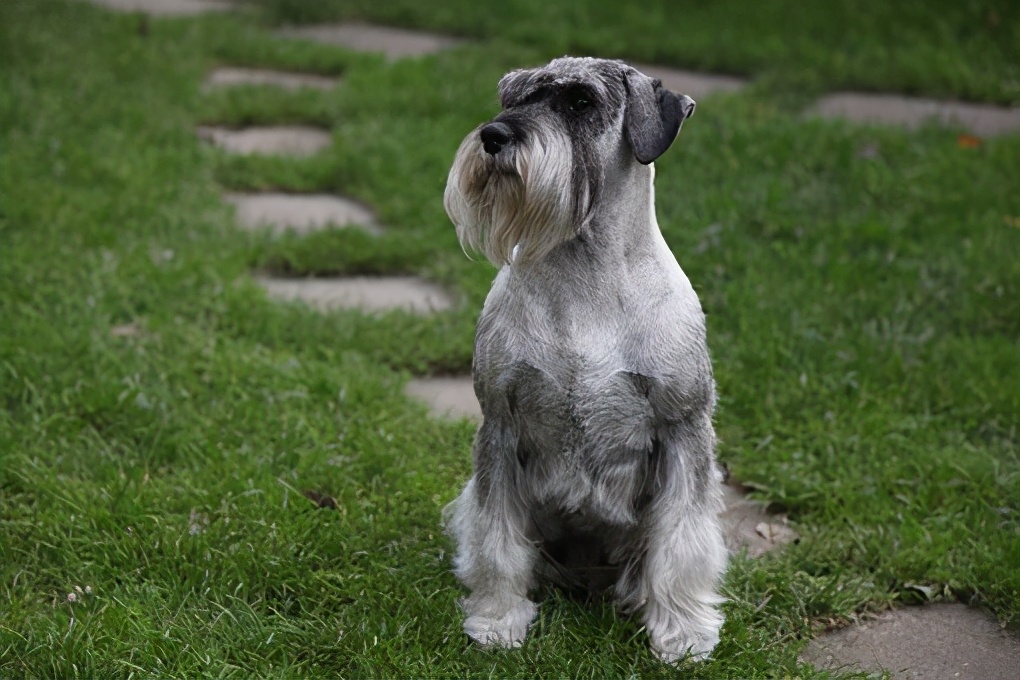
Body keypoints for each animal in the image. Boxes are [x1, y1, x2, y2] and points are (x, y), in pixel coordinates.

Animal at [440, 55, 726, 660]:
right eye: (512, 97)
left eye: (580, 102)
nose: (493, 136)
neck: (584, 278)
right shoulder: (501, 426)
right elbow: (497, 538)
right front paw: (497, 619)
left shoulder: (685, 431)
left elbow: (682, 540)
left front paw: (683, 631)